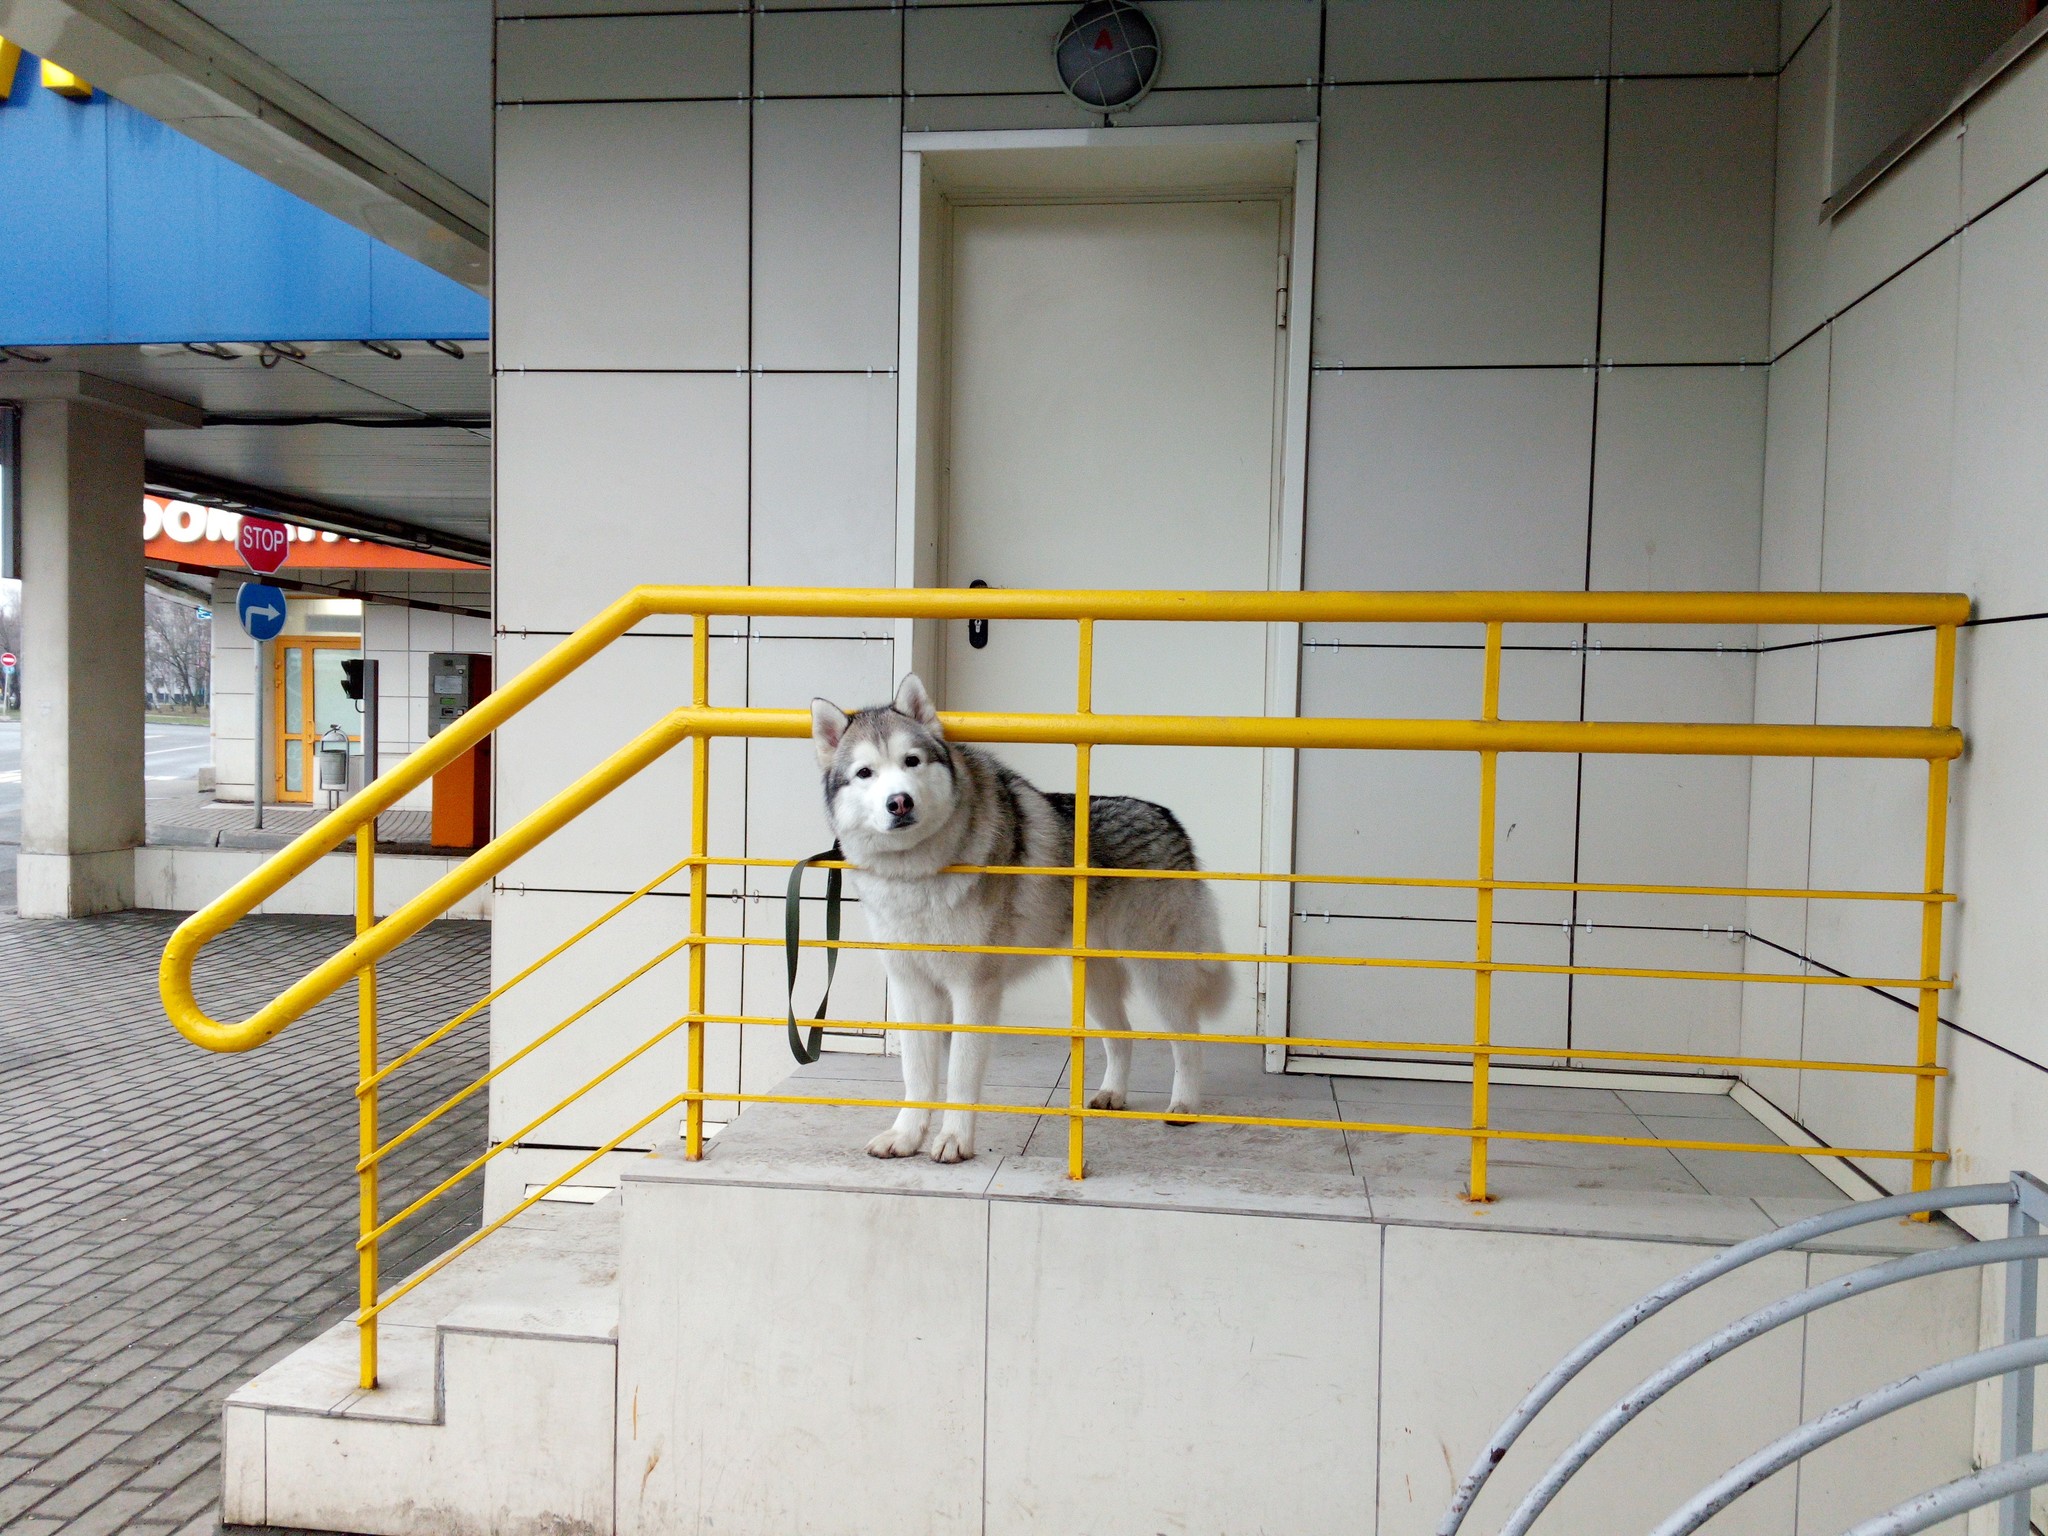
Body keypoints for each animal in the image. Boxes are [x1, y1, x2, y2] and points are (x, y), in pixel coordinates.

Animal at [811, 675, 1228, 1163]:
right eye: (865, 773)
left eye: (911, 761)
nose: (900, 802)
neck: (917, 874)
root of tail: (1168, 818)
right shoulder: (912, 988)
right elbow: (917, 1075)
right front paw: (906, 1136)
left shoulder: (973, 989)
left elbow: (960, 1074)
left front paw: (954, 1140)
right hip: (1091, 985)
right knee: (1122, 1036)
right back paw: (1113, 1094)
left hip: (1159, 974)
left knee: (1189, 1042)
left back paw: (1184, 1105)